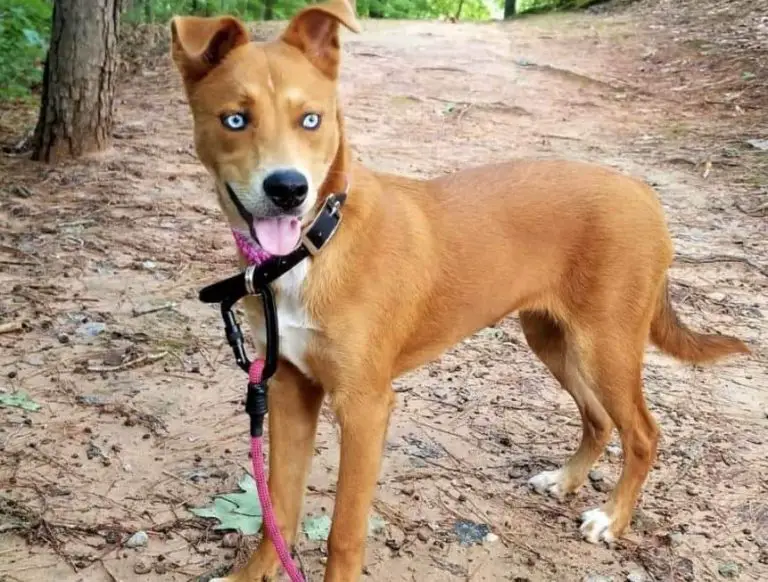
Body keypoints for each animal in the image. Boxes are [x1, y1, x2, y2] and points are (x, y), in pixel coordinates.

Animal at [170, 2, 752, 580]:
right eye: (235, 120)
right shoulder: (290, 387)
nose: (288, 190)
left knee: (643, 434)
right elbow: (278, 509)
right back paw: (565, 480)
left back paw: (612, 519)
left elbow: (344, 533)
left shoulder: (365, 406)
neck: (314, 246)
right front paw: (254, 572)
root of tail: (641, 191)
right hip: (553, 339)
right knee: (599, 418)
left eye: (310, 119)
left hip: (606, 345)